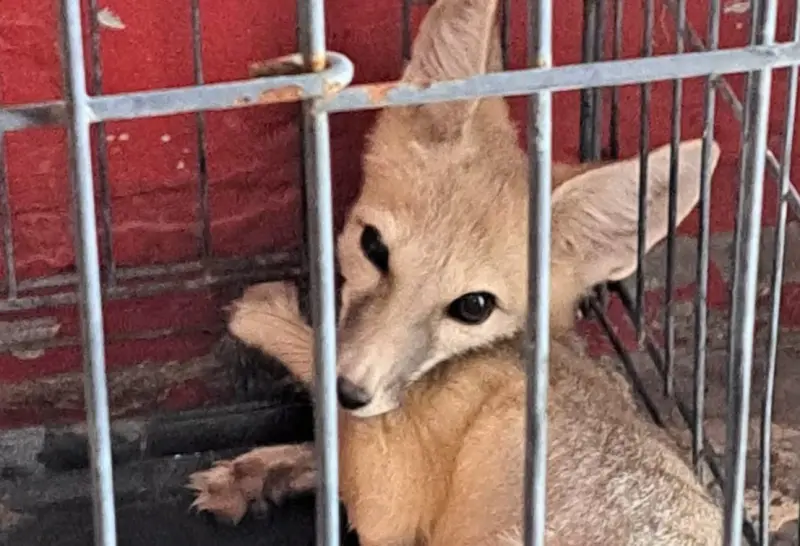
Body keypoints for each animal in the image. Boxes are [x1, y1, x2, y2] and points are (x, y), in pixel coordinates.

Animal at [187, 0, 725, 543]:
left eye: (474, 307)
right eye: (373, 247)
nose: (350, 390)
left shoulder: (388, 497)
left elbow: (328, 390)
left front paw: (265, 316)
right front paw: (264, 472)